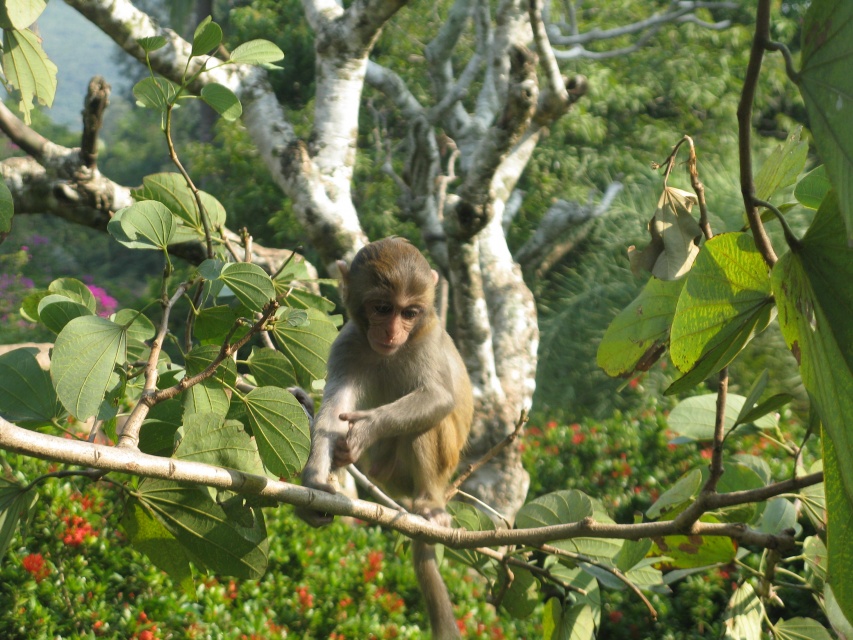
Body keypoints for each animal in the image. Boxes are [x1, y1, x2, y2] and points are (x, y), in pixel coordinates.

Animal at [298, 237, 473, 639]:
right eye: (382, 308)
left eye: (409, 312)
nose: (392, 333)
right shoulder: (347, 343)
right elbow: (333, 413)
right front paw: (313, 481)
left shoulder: (428, 339)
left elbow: (439, 398)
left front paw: (366, 428)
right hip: (386, 473)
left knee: (427, 426)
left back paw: (429, 506)